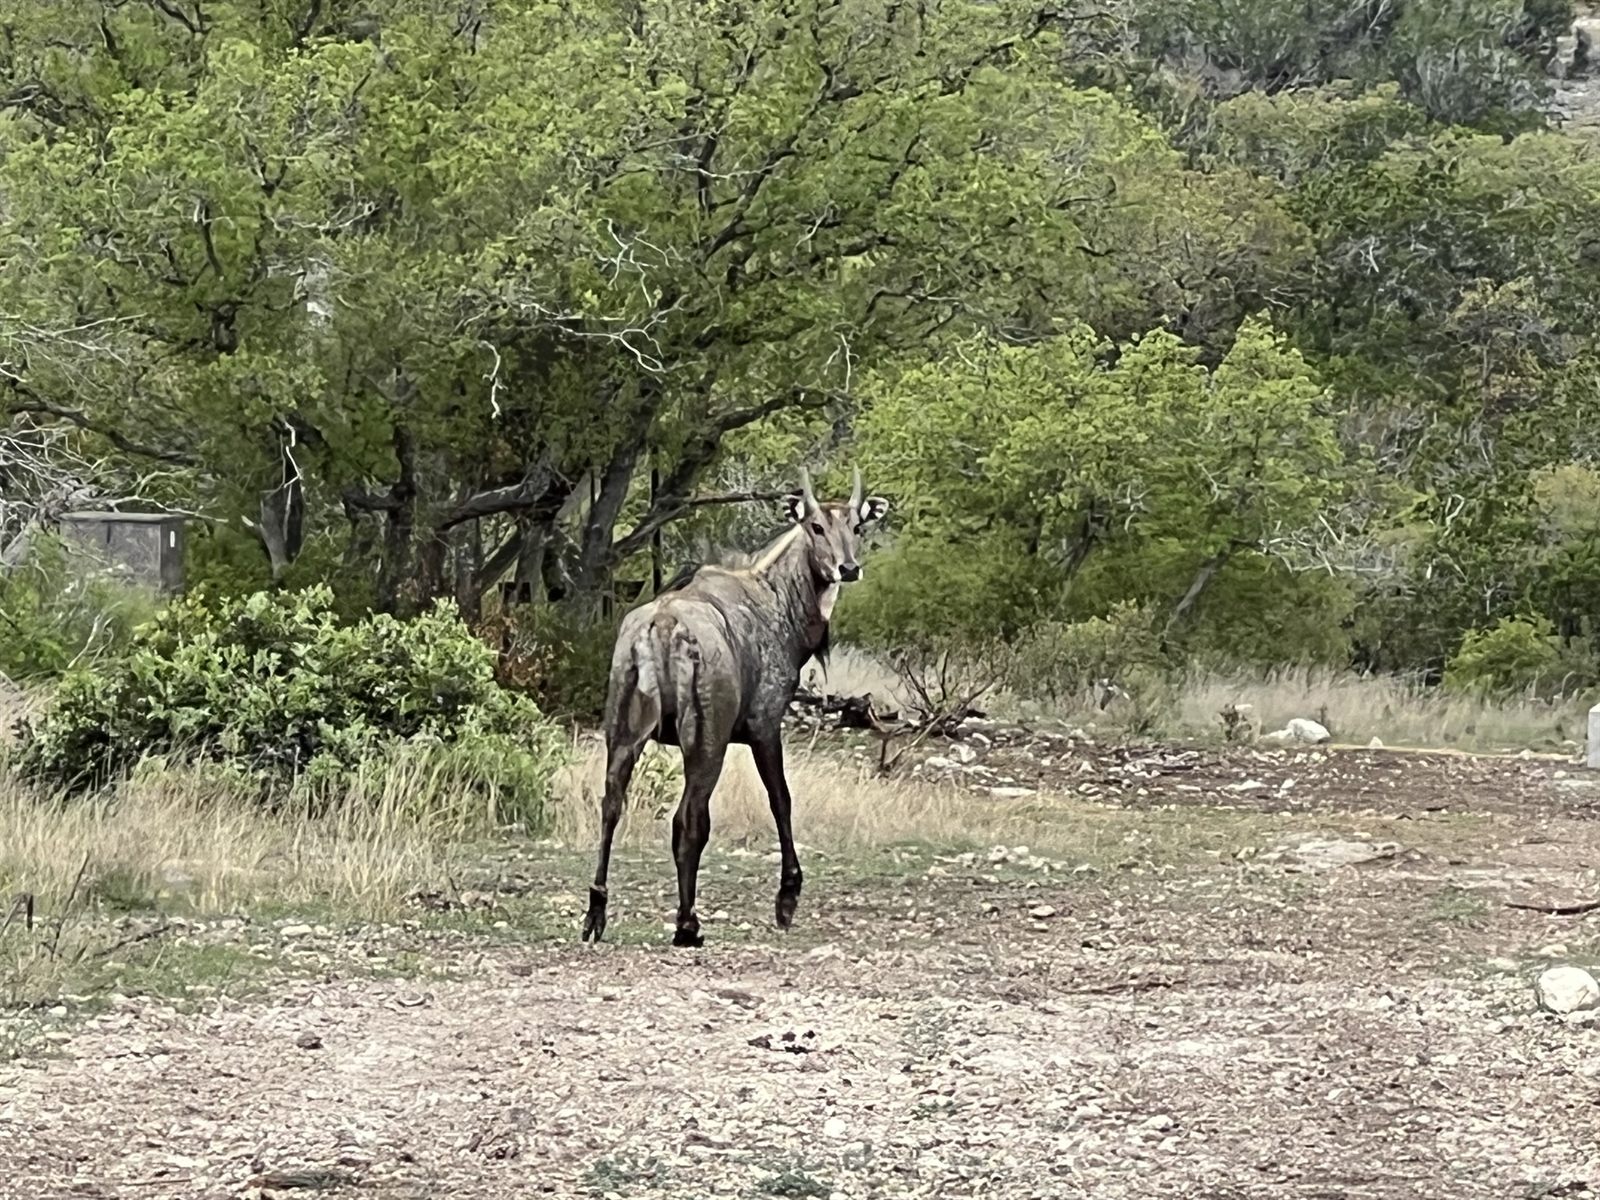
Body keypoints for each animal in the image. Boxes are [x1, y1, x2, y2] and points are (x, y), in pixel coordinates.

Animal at [581, 467, 889, 947]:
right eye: (816, 526)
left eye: (856, 526)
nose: (848, 568)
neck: (779, 603)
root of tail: (661, 627)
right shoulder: (764, 724)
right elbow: (781, 800)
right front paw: (787, 899)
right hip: (706, 738)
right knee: (689, 818)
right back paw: (687, 924)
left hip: (624, 730)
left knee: (612, 804)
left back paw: (596, 913)